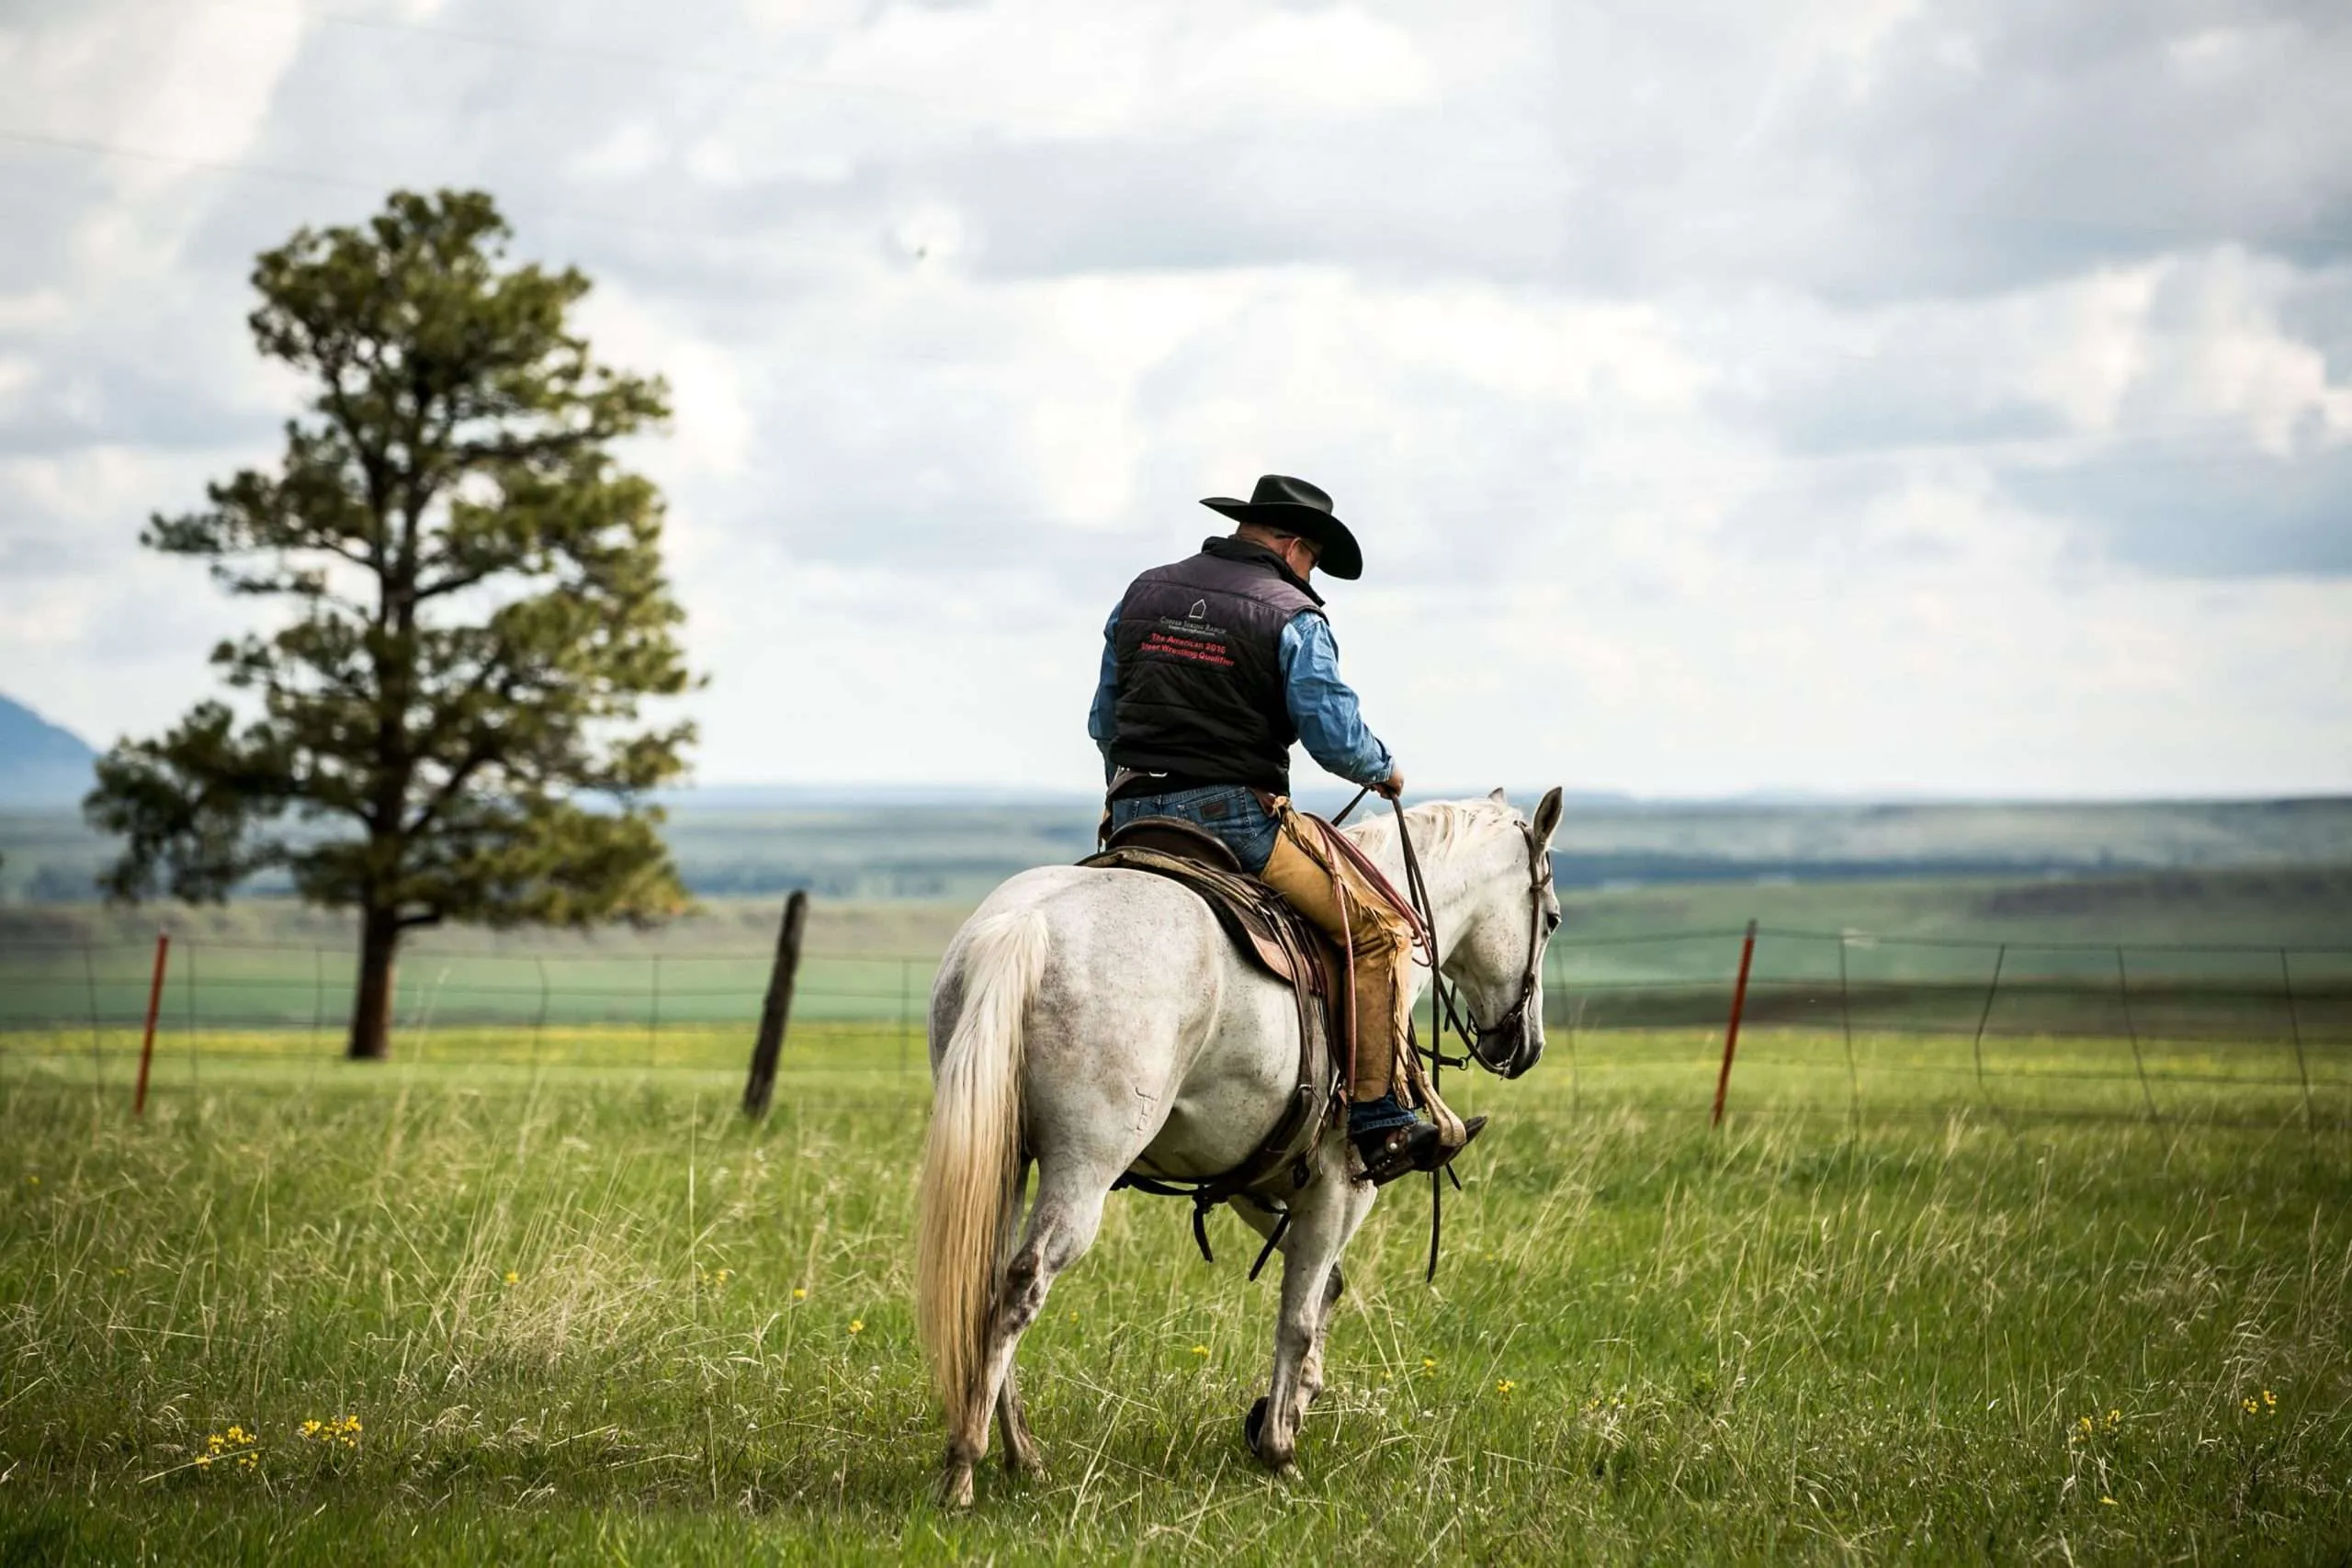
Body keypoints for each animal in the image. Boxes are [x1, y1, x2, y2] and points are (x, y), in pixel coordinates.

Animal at [914, 787, 1566, 1507]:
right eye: (1552, 920)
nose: (1524, 1046)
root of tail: (1027, 925)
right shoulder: (1341, 1188)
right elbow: (1300, 1311)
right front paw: (1280, 1449)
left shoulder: (1257, 1178)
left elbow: (1325, 1286)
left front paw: (1289, 1408)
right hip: (1081, 1169)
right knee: (1022, 1284)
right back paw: (964, 1465)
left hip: (1006, 1160)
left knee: (986, 1281)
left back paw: (1021, 1452)